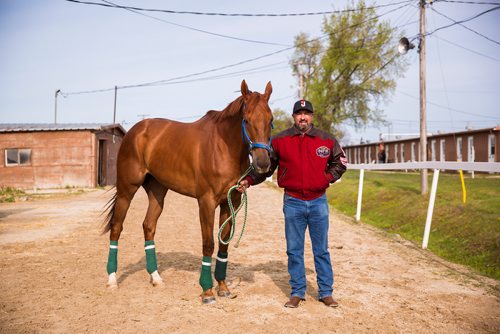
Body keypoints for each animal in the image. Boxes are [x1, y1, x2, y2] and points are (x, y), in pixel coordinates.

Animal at [102, 79, 274, 304]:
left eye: (271, 119)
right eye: (246, 119)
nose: (263, 164)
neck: (223, 146)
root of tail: (136, 131)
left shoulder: (231, 202)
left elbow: (223, 244)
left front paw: (223, 287)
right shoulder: (206, 202)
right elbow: (208, 244)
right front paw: (207, 291)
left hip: (158, 192)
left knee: (149, 226)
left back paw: (156, 277)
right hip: (126, 189)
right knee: (116, 227)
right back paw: (112, 280)